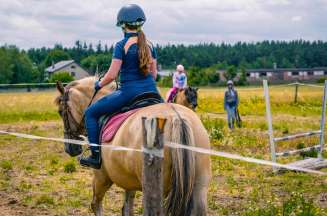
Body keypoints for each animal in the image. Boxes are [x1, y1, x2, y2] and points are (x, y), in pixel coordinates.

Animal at [55, 77, 211, 215]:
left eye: (61, 112)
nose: (69, 148)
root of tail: (176, 117)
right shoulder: (128, 180)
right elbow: (126, 209)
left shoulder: (101, 176)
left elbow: (96, 205)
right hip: (198, 189)